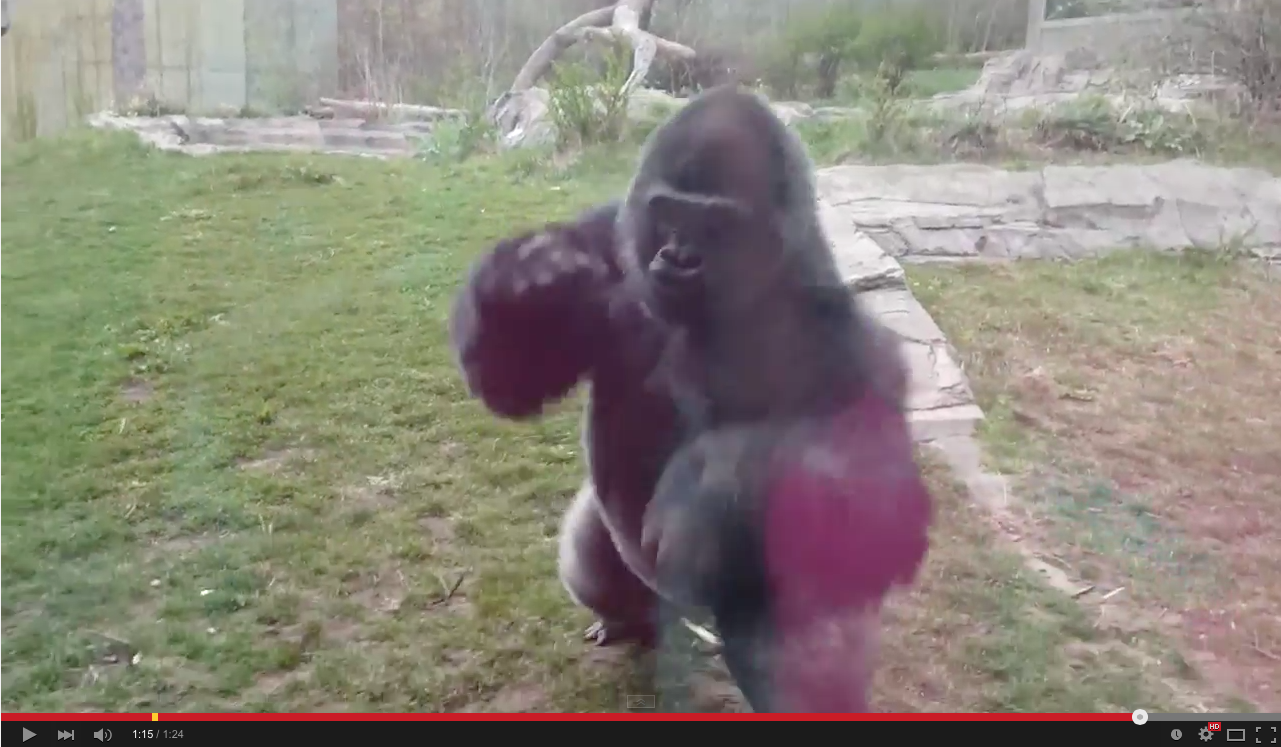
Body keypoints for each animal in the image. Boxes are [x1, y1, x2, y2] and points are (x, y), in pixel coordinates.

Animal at [449, 85, 932, 711]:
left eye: (715, 223)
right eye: (670, 214)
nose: (678, 256)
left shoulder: (836, 322)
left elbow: (883, 502)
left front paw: (714, 483)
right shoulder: (607, 236)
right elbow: (512, 380)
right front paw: (525, 282)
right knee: (590, 557)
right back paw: (630, 621)